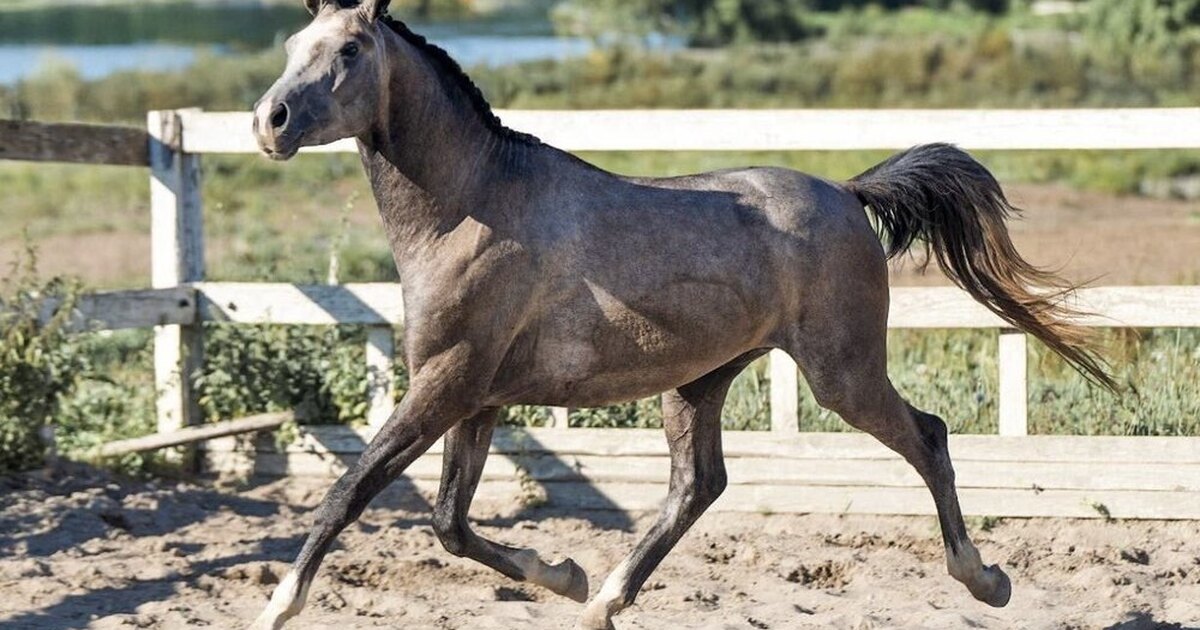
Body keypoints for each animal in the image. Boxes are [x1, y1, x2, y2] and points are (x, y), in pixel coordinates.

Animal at [248, 1, 1112, 627]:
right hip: (701, 379)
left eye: (349, 50)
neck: (472, 208)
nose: (269, 121)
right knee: (699, 485)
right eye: (291, 42)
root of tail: (848, 193)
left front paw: (276, 608)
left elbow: (353, 490)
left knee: (927, 438)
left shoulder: (447, 383)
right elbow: (447, 523)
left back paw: (986, 581)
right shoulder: (477, 396)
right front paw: (563, 573)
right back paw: (600, 603)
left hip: (841, 372)